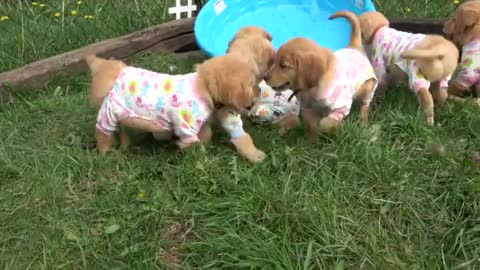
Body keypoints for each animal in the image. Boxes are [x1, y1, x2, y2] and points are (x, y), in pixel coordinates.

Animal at [86, 53, 266, 162]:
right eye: (250, 83)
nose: (259, 89)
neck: (203, 85)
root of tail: (116, 73)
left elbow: (205, 134)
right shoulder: (186, 127)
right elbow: (195, 146)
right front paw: (203, 161)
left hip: (125, 115)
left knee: (123, 130)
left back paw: (126, 146)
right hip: (109, 114)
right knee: (103, 134)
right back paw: (106, 153)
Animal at [264, 11, 376, 141]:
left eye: (283, 65)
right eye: (274, 61)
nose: (264, 77)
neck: (311, 89)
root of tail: (354, 47)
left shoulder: (340, 108)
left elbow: (326, 123)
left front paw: (331, 129)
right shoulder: (308, 109)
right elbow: (312, 126)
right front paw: (310, 141)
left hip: (368, 87)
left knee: (365, 105)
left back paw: (363, 121)